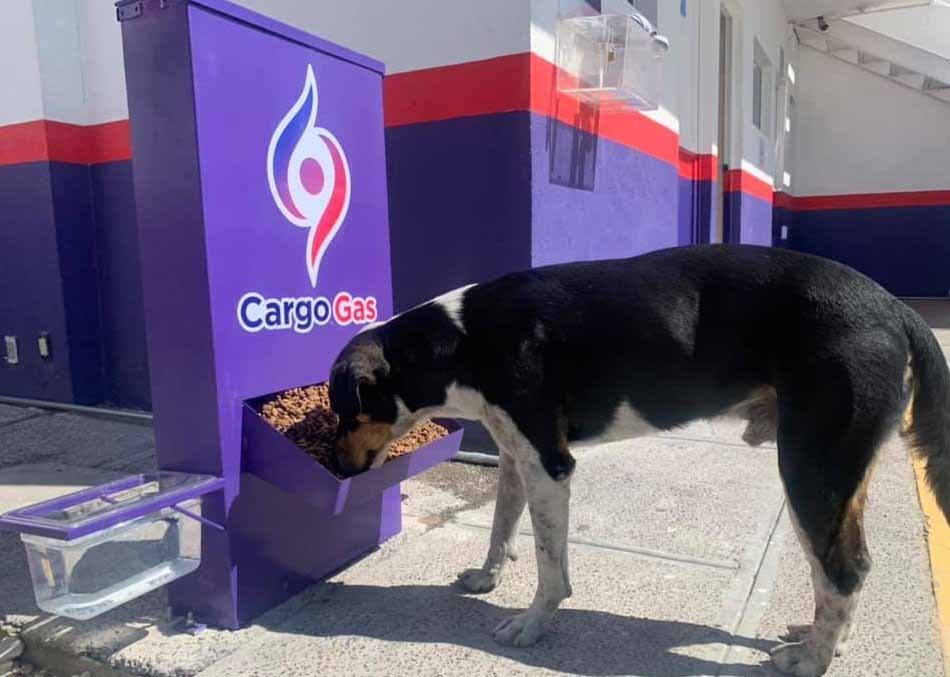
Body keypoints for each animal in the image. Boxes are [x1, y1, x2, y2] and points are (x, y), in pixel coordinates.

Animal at [330, 246, 950, 672]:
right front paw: (487, 576)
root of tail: (894, 306)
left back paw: (811, 660)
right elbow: (502, 527)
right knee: (845, 567)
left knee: (845, 568)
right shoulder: (515, 454)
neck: (464, 340)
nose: (336, 470)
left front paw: (532, 624)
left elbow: (550, 567)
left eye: (344, 413)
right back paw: (828, 639)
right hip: (837, 477)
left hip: (810, 468)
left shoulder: (550, 465)